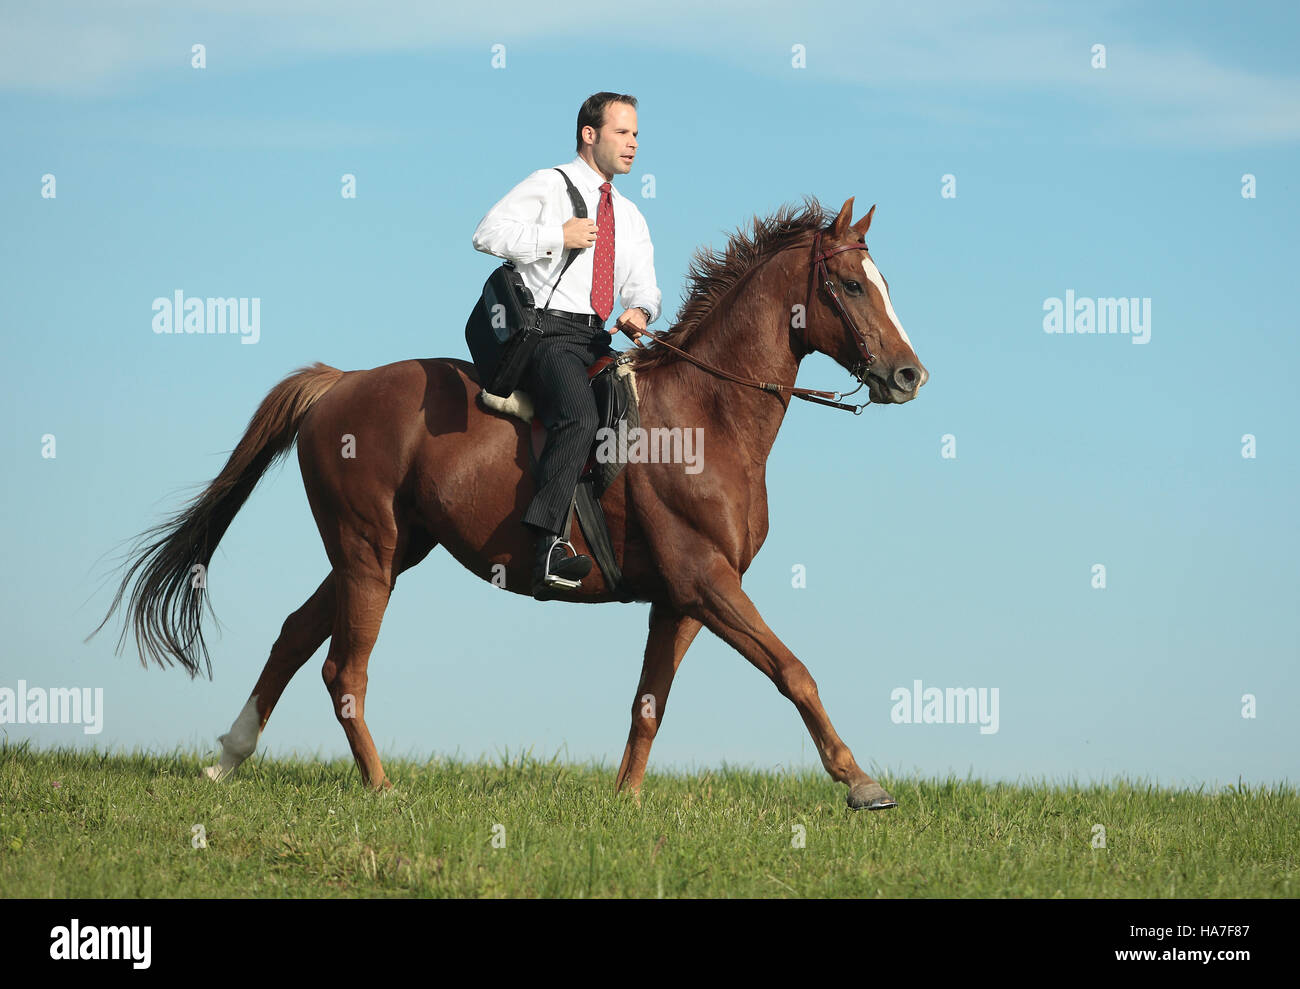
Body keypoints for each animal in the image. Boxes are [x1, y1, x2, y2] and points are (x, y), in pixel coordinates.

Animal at [91, 195, 928, 809]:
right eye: (853, 286)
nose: (910, 374)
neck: (707, 416)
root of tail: (339, 383)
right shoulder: (707, 582)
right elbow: (794, 670)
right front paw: (861, 782)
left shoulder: (681, 599)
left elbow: (649, 702)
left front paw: (624, 802)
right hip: (368, 551)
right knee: (342, 669)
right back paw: (382, 788)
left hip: (387, 551)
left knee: (296, 634)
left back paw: (227, 760)